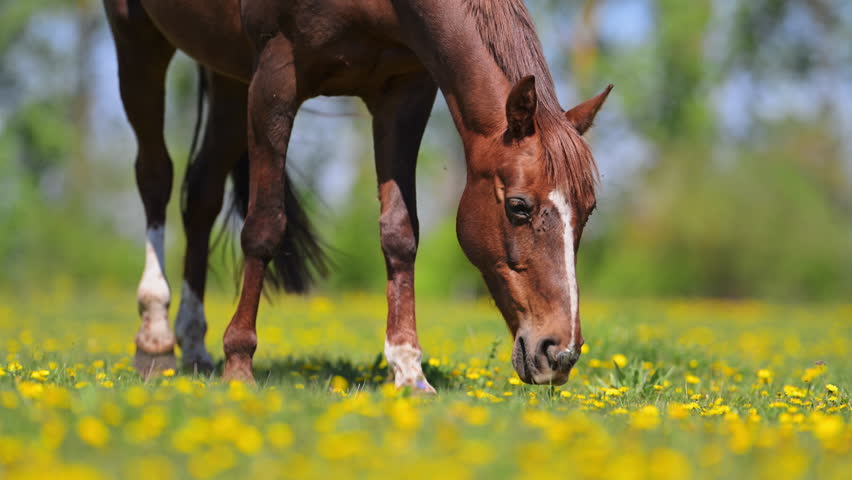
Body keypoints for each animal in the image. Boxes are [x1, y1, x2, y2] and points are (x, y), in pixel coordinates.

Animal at [104, 0, 611, 391]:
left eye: (587, 213)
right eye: (518, 206)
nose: (560, 353)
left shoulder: (405, 90)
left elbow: (400, 234)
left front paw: (408, 370)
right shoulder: (274, 78)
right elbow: (264, 226)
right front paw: (240, 363)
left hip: (226, 72)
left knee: (201, 195)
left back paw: (193, 346)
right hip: (137, 37)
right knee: (156, 176)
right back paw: (154, 341)